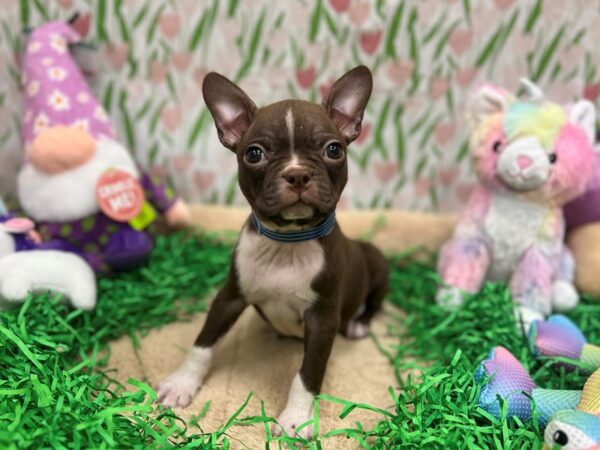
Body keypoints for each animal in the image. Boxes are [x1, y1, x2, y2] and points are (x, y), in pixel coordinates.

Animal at [155, 65, 390, 438]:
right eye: (254, 154)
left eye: (334, 150)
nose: (297, 174)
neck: (287, 242)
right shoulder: (230, 296)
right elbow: (202, 343)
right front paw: (182, 383)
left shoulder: (323, 319)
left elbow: (308, 374)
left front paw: (296, 418)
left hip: (380, 267)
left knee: (374, 303)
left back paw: (358, 325)